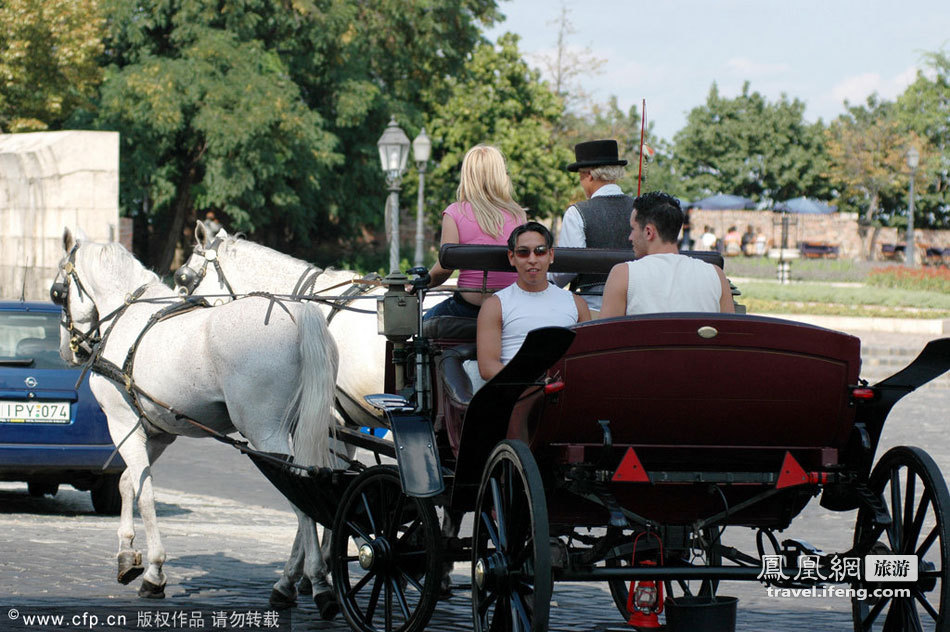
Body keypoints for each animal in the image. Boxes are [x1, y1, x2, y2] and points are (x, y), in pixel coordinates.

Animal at [54, 230, 340, 608]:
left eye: (57, 292)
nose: (67, 350)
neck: (127, 316)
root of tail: (298, 315)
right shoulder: (156, 432)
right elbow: (129, 483)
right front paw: (127, 553)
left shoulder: (123, 424)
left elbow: (145, 493)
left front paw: (155, 572)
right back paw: (297, 580)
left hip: (266, 434)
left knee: (299, 496)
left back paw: (317, 580)